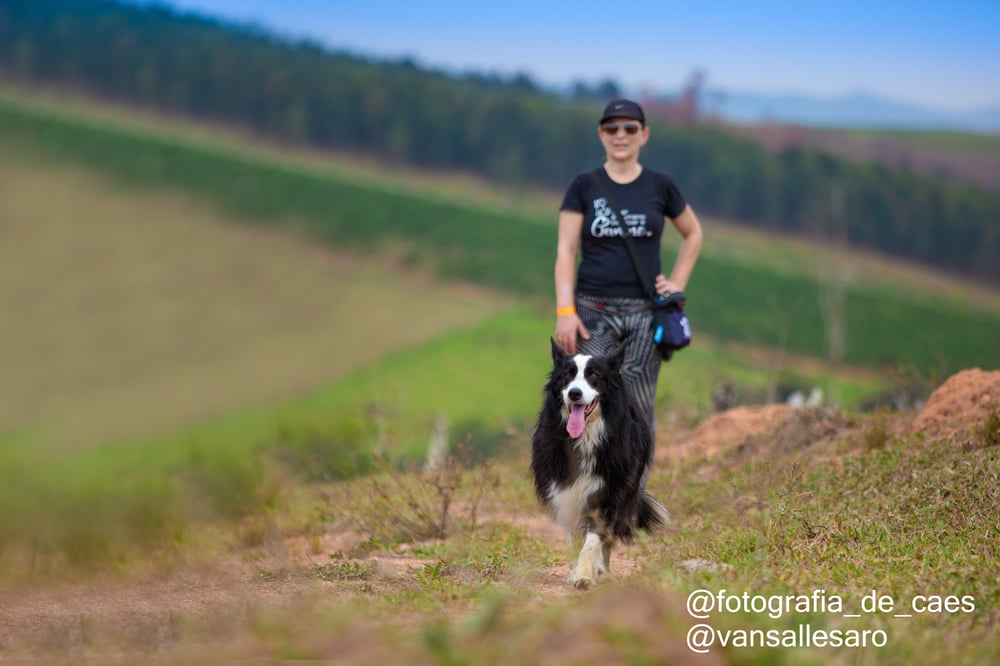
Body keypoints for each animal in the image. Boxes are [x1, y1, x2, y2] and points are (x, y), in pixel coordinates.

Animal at [528, 338, 668, 588]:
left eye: (594, 375)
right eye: (567, 375)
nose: (574, 393)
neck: (585, 437)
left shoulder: (609, 488)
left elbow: (594, 538)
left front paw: (585, 575)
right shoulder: (563, 489)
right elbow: (575, 538)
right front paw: (577, 571)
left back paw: (602, 569)